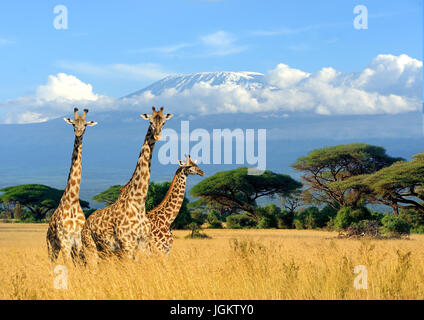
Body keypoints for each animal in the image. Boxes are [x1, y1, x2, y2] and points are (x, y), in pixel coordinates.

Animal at [45, 107, 97, 262]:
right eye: (73, 124)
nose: (78, 132)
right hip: (52, 245)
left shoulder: (78, 241)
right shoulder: (65, 241)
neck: (73, 201)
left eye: (85, 125)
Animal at [82, 106, 173, 262]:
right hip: (90, 248)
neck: (138, 203)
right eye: (150, 122)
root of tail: (86, 223)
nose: (157, 136)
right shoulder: (126, 244)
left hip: (105, 251)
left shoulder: (143, 244)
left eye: (164, 123)